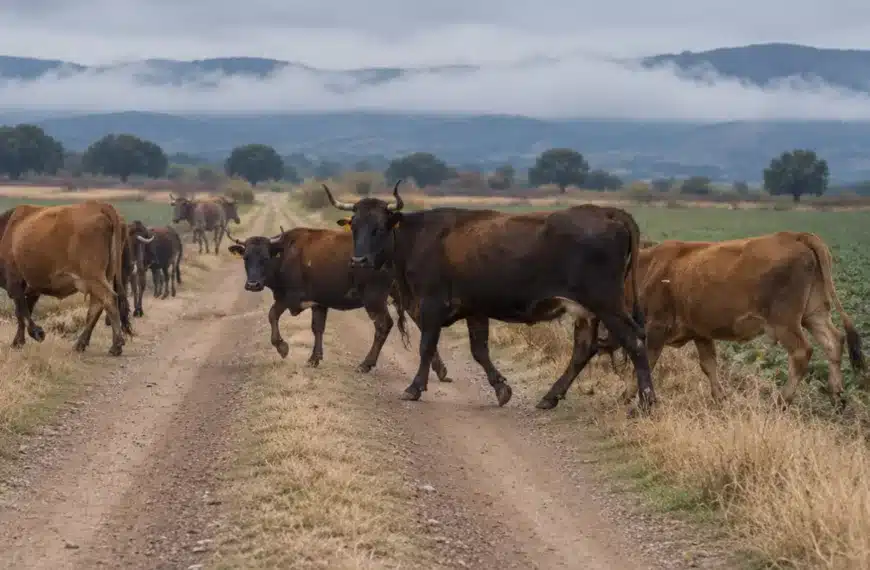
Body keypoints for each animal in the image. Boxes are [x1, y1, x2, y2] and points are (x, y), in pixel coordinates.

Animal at [0, 200, 133, 355]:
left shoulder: (15, 283)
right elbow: (23, 312)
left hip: (93, 276)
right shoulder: (33, 288)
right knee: (97, 306)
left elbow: (22, 312)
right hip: (103, 276)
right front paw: (18, 341)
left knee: (109, 299)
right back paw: (81, 343)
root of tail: (99, 205)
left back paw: (116, 345)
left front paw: (37, 333)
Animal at [225, 225, 453, 382]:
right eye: (246, 258)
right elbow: (317, 328)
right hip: (404, 296)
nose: (253, 284)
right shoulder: (319, 302)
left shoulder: (290, 298)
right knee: (422, 323)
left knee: (383, 325)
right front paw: (314, 358)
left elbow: (272, 314)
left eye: (265, 257)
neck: (286, 254)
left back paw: (366, 364)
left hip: (374, 298)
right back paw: (441, 370)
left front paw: (282, 347)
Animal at [322, 182, 656, 411]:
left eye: (379, 228)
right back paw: (550, 397)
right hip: (586, 311)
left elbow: (426, 347)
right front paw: (501, 389)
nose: (359, 261)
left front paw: (415, 387)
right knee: (583, 349)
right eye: (355, 226)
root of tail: (606, 211)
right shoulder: (475, 309)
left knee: (636, 341)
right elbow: (479, 351)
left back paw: (647, 402)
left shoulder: (431, 305)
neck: (419, 237)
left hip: (607, 303)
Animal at [598, 232, 865, 410]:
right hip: (814, 313)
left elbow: (645, 361)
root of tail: (795, 236)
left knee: (802, 352)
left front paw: (629, 396)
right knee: (834, 341)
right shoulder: (700, 332)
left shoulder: (656, 328)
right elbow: (709, 365)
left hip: (785, 322)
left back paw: (781, 400)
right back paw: (837, 395)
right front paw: (720, 398)